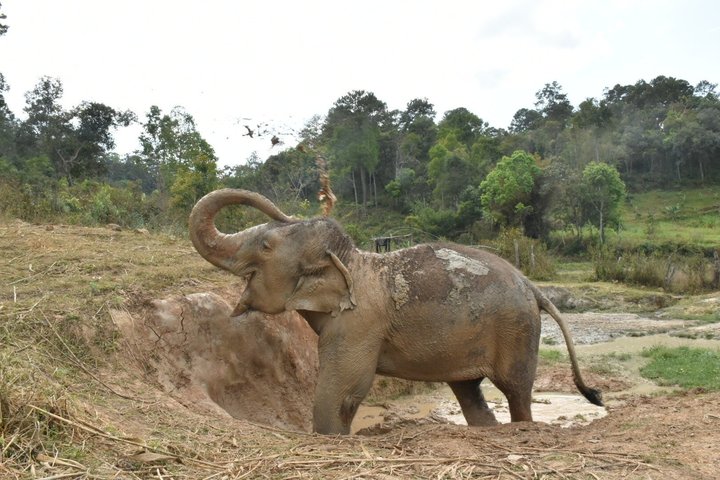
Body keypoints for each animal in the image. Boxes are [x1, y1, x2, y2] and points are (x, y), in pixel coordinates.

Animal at [189, 189, 603, 434]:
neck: (354, 263)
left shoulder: (358, 324)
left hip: (516, 330)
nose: (292, 210)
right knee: (470, 392)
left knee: (516, 390)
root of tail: (533, 286)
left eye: (266, 244)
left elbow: (341, 392)